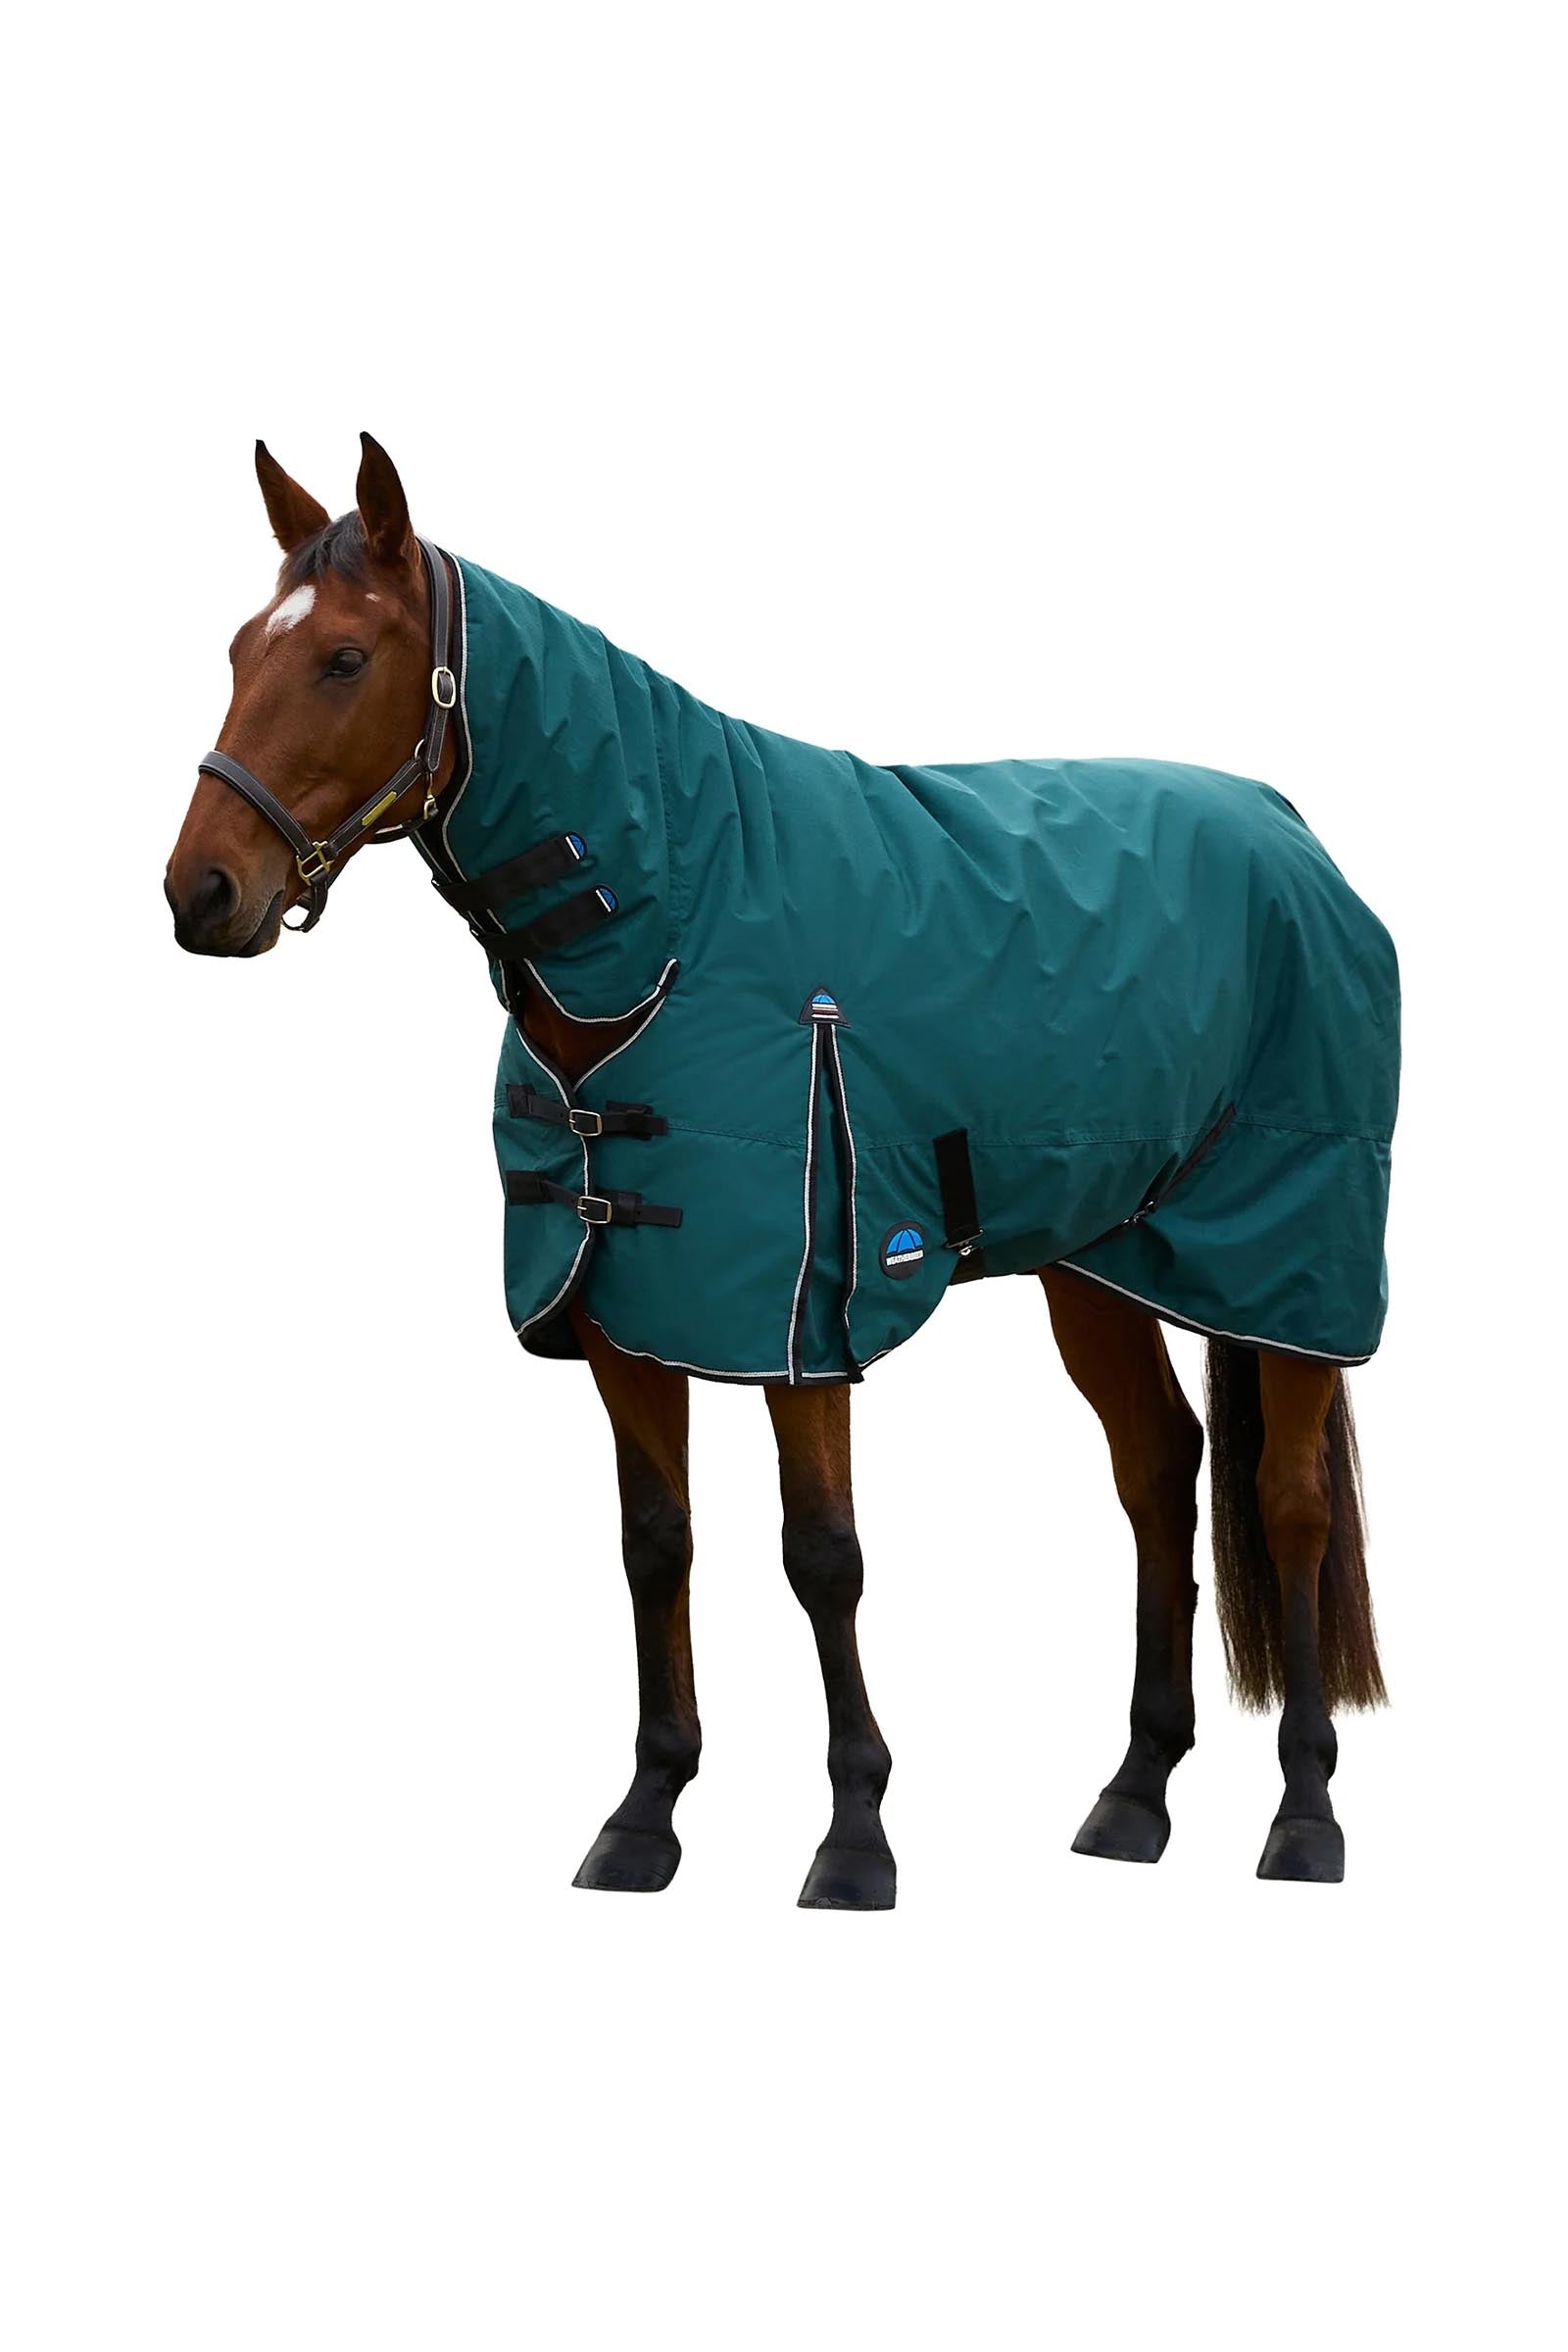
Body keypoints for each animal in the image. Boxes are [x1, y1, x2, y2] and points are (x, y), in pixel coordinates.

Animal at [166, 434, 1394, 1904]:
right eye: (242, 648)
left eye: (344, 658)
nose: (199, 894)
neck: (675, 923)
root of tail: (1290, 829)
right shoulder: (626, 1307)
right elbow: (656, 1546)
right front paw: (645, 1816)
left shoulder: (803, 1314)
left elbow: (823, 1557)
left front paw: (855, 1836)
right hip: (1100, 1260)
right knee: (1160, 1474)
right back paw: (1134, 1795)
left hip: (1288, 1260)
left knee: (1286, 1505)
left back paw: (1307, 1816)